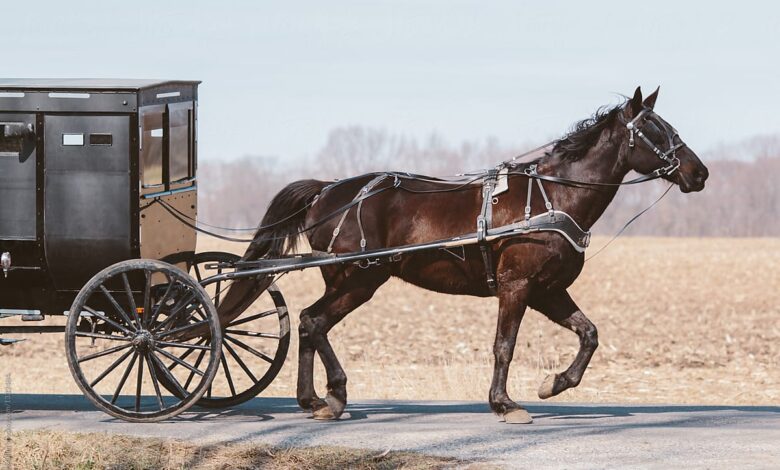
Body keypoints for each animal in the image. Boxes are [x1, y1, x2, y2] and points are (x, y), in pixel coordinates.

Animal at [218, 86, 708, 424]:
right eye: (655, 130)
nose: (699, 172)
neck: (552, 197)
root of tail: (328, 190)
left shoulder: (547, 290)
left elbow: (589, 334)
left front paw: (554, 384)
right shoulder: (517, 287)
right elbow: (504, 345)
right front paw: (505, 404)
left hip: (348, 280)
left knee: (305, 322)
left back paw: (313, 399)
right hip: (359, 278)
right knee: (315, 321)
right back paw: (335, 394)